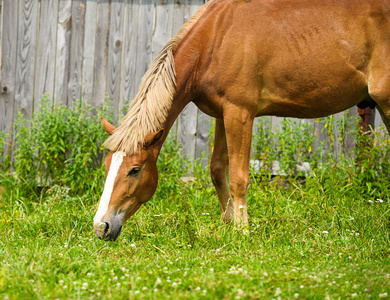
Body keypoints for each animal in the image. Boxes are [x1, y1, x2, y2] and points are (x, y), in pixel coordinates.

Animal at [93, 0, 390, 240]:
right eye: (107, 165)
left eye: (134, 170)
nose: (101, 226)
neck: (216, 39)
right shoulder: (222, 116)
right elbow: (217, 169)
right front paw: (228, 223)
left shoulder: (240, 114)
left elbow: (238, 176)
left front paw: (242, 231)